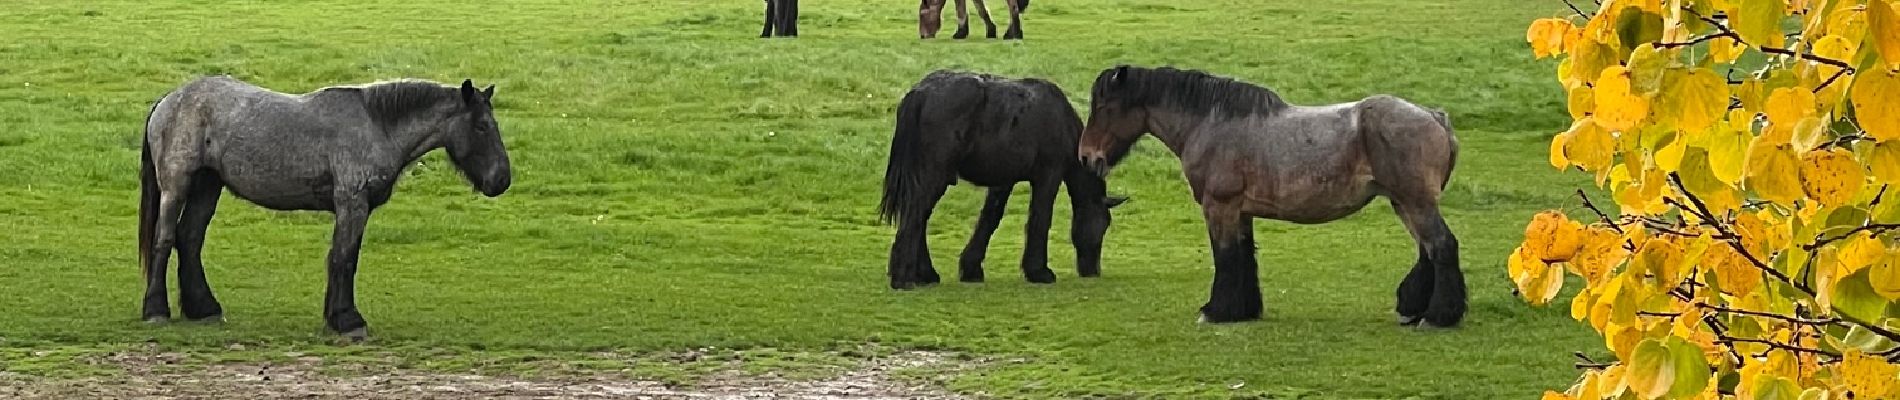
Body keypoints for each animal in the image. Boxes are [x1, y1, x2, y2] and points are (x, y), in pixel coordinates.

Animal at [138, 76, 513, 339]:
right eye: (482, 126)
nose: (502, 180)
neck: (377, 126)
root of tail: (169, 100)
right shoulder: (351, 203)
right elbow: (343, 258)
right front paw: (348, 320)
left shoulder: (357, 208)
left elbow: (345, 258)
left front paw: (336, 316)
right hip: (177, 186)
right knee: (165, 240)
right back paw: (156, 310)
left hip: (207, 185)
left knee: (189, 239)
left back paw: (203, 308)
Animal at [877, 70, 1124, 288]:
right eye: (1103, 224)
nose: (1093, 271)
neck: (1060, 120)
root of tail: (921, 92)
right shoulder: (1048, 176)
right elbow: (1040, 219)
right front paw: (1039, 271)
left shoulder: (1003, 181)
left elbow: (990, 218)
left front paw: (971, 268)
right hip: (934, 176)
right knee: (915, 214)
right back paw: (904, 277)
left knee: (920, 216)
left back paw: (924, 274)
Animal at [1079, 66, 1459, 327]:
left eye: (1105, 107)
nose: (1086, 157)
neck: (1210, 124)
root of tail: (1434, 117)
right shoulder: (1241, 212)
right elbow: (1244, 257)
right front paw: (1243, 310)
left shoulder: (1219, 207)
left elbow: (1226, 257)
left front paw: (1215, 311)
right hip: (1403, 203)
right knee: (1427, 249)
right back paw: (1414, 310)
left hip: (1415, 203)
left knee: (1441, 246)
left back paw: (1437, 317)